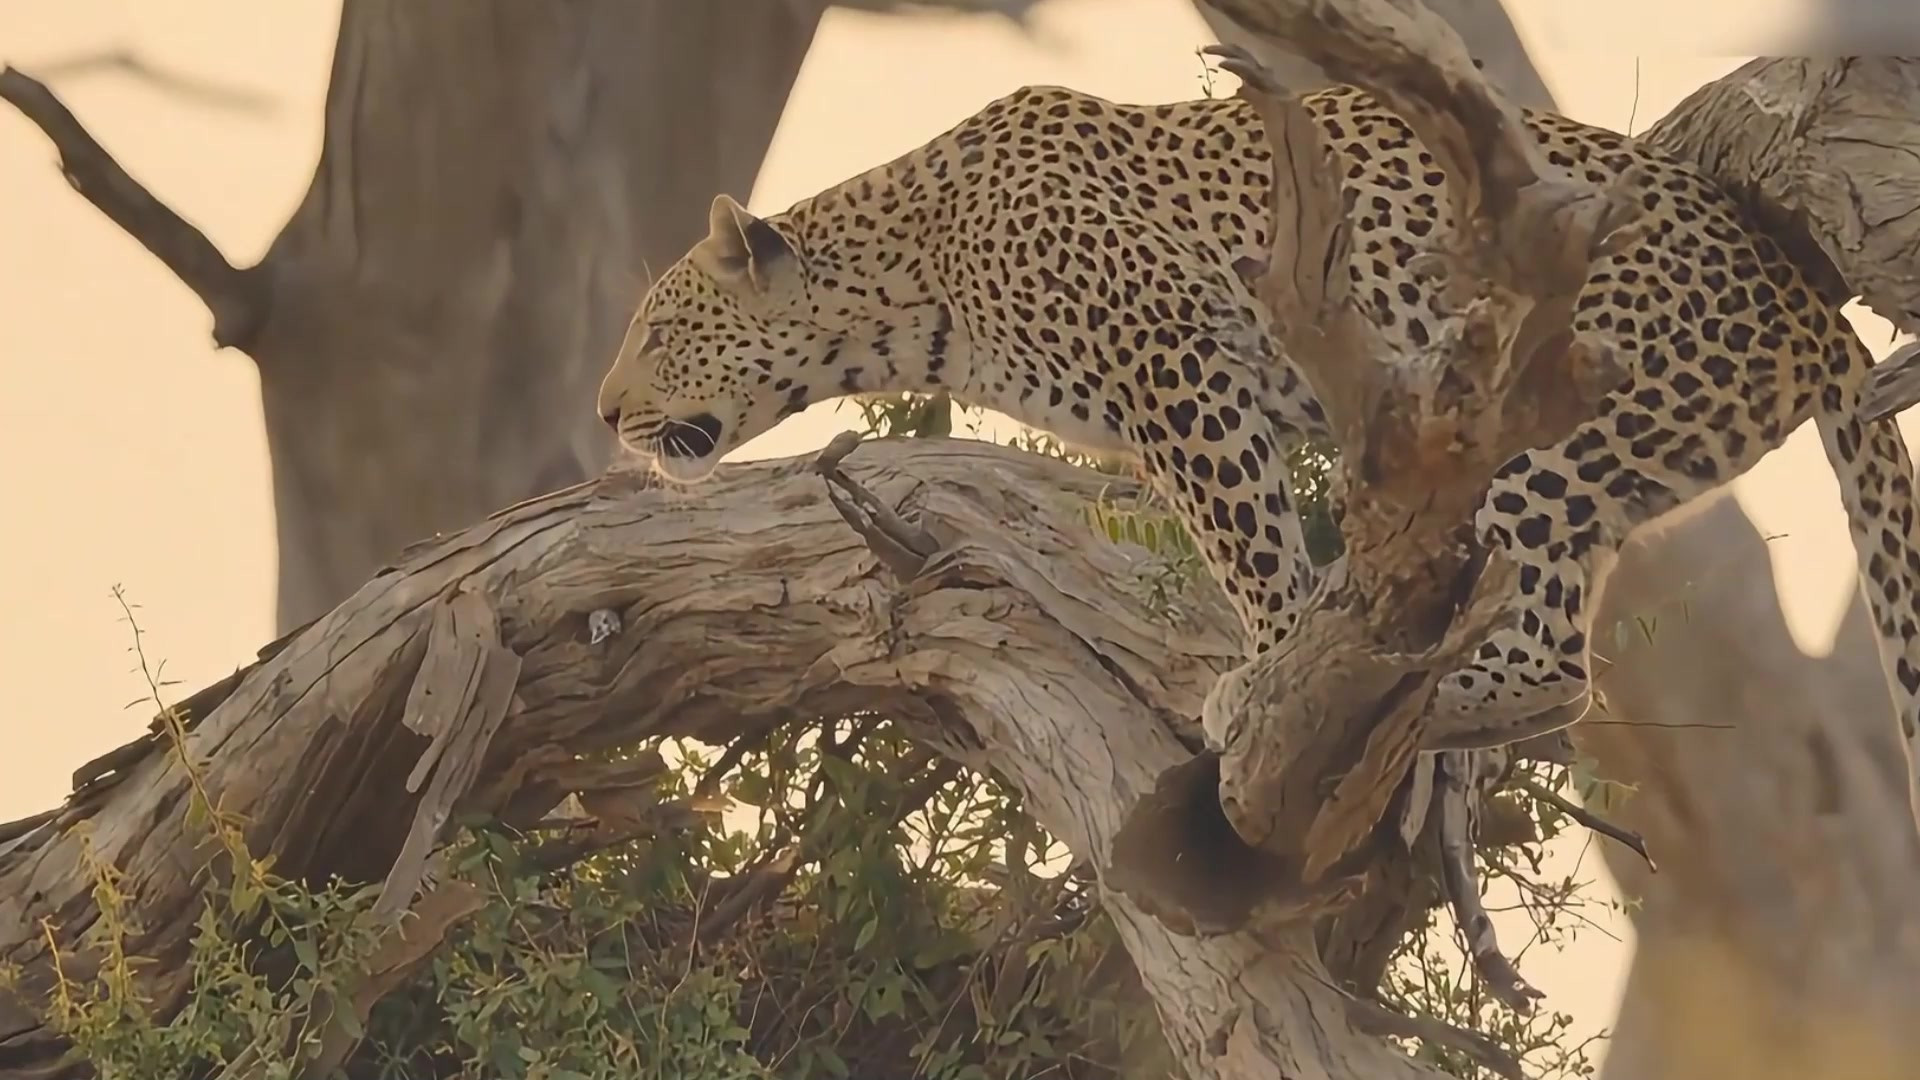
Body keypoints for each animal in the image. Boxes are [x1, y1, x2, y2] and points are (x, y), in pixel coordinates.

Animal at [599, 79, 1920, 760]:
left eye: (658, 329)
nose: (606, 410)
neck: (912, 281)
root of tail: (1817, 315)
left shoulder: (1173, 359)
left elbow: (1248, 544)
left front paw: (1271, 674)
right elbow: (1265, 530)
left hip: (1550, 419)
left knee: (1554, 666)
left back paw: (1436, 686)